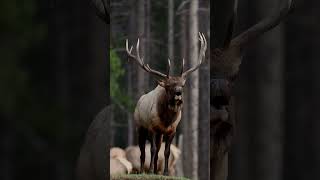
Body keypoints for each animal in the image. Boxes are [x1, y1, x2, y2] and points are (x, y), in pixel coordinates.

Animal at [126, 32, 209, 174]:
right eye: (169, 86)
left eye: (182, 85)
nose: (178, 93)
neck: (166, 120)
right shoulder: (152, 128)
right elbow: (152, 150)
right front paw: (149, 171)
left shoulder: (172, 131)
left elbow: (166, 152)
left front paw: (164, 172)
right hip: (140, 128)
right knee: (143, 152)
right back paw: (143, 170)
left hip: (159, 134)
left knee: (157, 150)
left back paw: (155, 171)